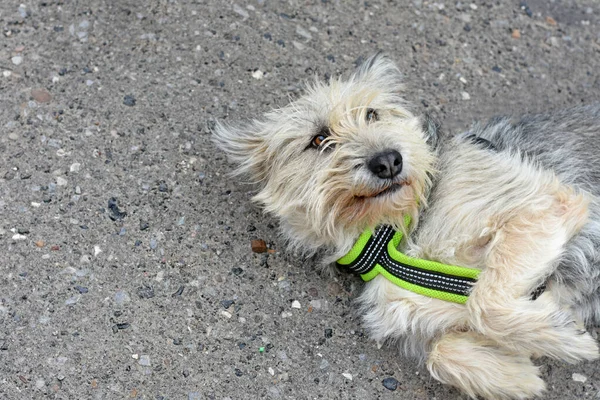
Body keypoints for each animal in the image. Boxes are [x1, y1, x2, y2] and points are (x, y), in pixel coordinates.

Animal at [212, 54, 600, 400]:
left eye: (372, 113)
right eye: (319, 140)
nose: (388, 160)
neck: (391, 239)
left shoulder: (542, 204)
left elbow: (484, 302)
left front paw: (565, 340)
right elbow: (441, 352)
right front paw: (518, 374)